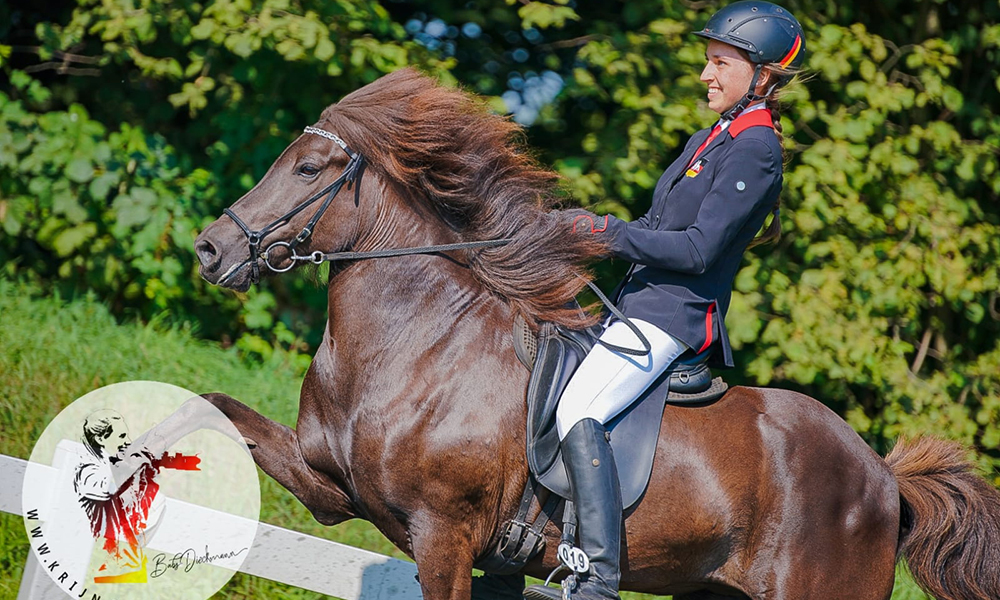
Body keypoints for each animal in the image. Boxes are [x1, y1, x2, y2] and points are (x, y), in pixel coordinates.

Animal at [193, 68, 1000, 596]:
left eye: (309, 168)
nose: (210, 249)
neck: (411, 345)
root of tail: (882, 474)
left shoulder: (443, 535)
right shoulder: (333, 492)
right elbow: (212, 409)